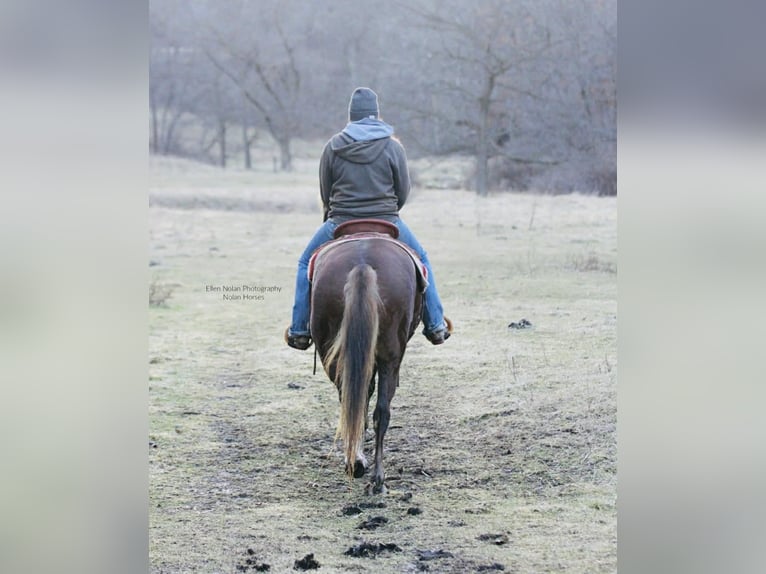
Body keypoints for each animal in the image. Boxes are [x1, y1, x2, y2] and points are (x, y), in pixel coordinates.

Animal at [309, 227, 423, 494]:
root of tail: (363, 265)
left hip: (335, 353)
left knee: (352, 400)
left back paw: (356, 463)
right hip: (391, 357)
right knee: (381, 410)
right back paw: (377, 479)